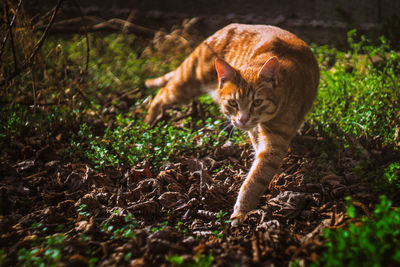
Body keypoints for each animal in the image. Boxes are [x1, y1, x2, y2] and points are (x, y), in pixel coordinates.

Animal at [144, 23, 318, 225]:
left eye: (257, 102)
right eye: (233, 103)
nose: (242, 119)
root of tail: (223, 29)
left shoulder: (273, 141)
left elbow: (257, 175)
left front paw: (242, 208)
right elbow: (256, 174)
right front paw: (241, 212)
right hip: (187, 83)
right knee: (161, 94)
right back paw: (147, 124)